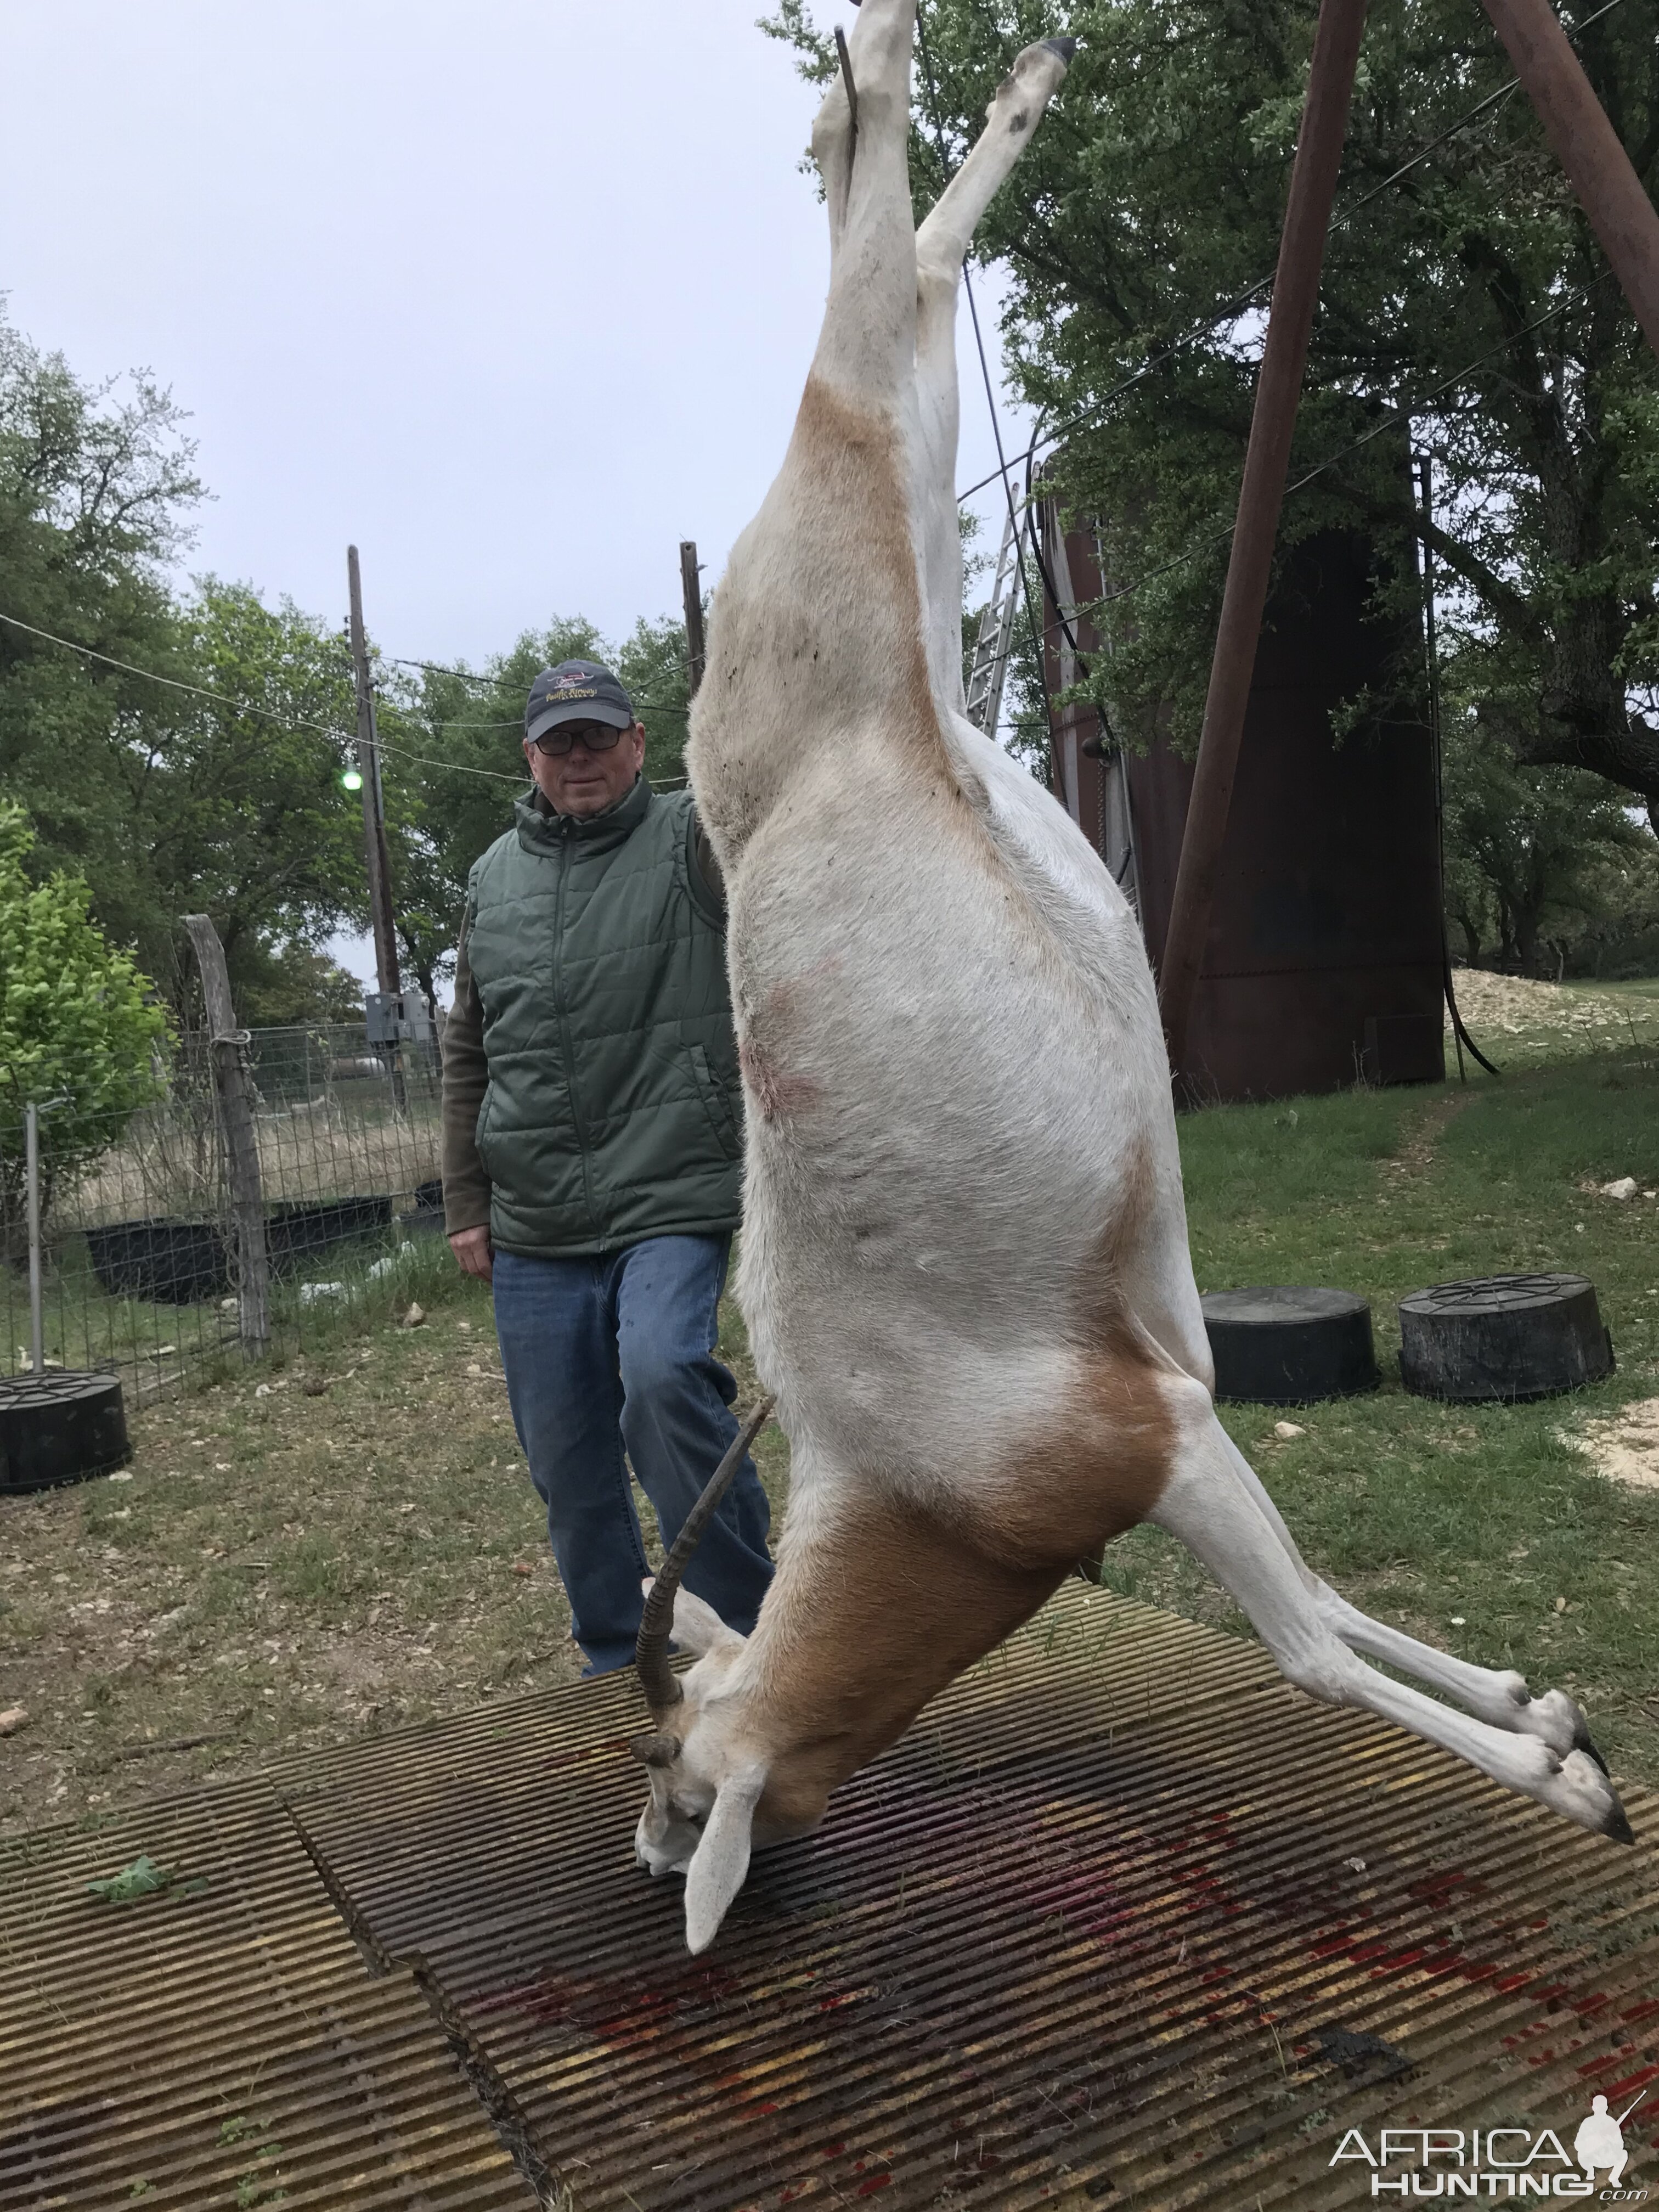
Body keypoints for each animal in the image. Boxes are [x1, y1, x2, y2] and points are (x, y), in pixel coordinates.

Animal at [628, 0, 1628, 1955]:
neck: (908, 1474)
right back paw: (1014, 87)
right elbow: (1330, 1595)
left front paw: (1566, 1780)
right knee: (918, 263)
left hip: (864, 471)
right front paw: (1544, 1708)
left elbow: (1310, 1644)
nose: (665, 1849)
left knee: (868, 256)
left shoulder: (1151, 1439)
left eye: (689, 1776)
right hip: (928, 513)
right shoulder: (1192, 1403)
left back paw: (901, 59)